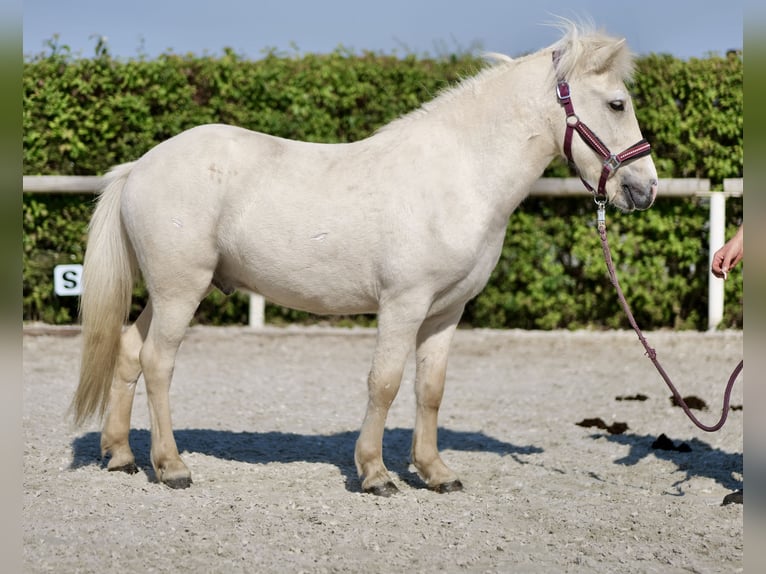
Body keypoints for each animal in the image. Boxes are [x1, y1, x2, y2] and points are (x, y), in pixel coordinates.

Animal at [73, 24, 660, 498]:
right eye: (617, 104)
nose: (645, 188)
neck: (459, 176)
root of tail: (140, 165)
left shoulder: (447, 312)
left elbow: (429, 390)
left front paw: (436, 473)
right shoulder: (403, 304)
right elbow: (385, 381)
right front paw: (376, 474)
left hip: (169, 290)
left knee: (129, 351)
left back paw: (121, 456)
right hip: (181, 290)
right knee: (158, 362)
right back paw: (171, 466)